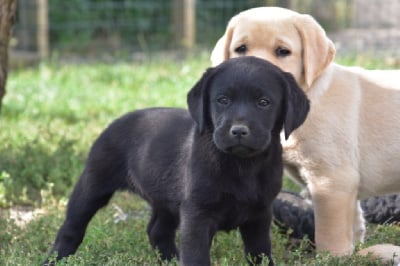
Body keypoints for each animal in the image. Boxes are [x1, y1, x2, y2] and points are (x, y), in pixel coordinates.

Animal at [43, 56, 310, 266]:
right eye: (222, 100)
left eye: (264, 103)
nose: (239, 131)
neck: (241, 165)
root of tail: (118, 120)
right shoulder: (196, 216)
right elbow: (196, 258)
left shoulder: (259, 215)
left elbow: (260, 254)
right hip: (93, 184)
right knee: (71, 228)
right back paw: (54, 259)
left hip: (167, 198)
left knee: (157, 231)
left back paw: (170, 260)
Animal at [212, 5, 400, 256]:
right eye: (240, 49)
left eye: (283, 51)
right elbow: (353, 225)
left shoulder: (331, 181)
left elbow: (329, 234)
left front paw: (332, 258)